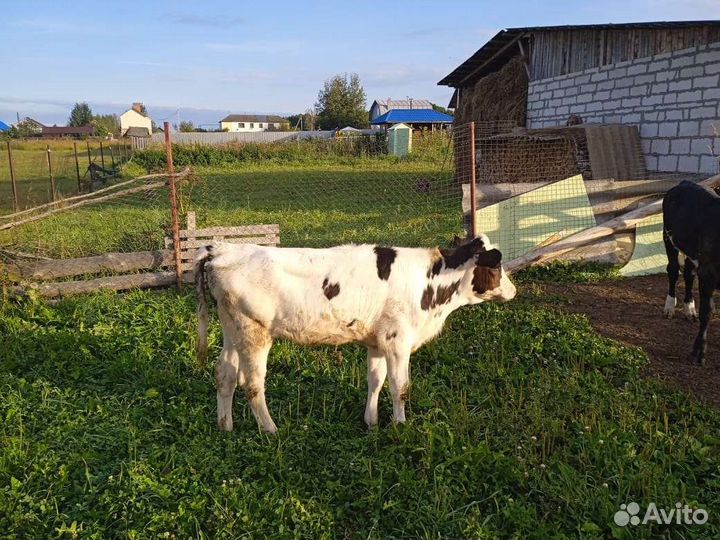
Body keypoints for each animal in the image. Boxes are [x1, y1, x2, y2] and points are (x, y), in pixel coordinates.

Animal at [194, 236, 517, 433]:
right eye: (497, 266)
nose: (514, 291)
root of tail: (221, 249)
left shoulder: (378, 341)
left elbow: (375, 381)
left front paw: (371, 422)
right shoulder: (398, 341)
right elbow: (400, 387)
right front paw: (400, 425)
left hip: (232, 330)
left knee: (225, 374)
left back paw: (225, 426)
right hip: (254, 333)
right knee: (252, 383)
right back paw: (270, 429)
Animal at [662, 180, 720, 365]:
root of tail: (685, 182)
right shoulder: (708, 273)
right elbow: (707, 312)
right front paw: (699, 352)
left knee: (688, 274)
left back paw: (689, 308)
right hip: (668, 238)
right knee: (673, 270)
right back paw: (669, 307)